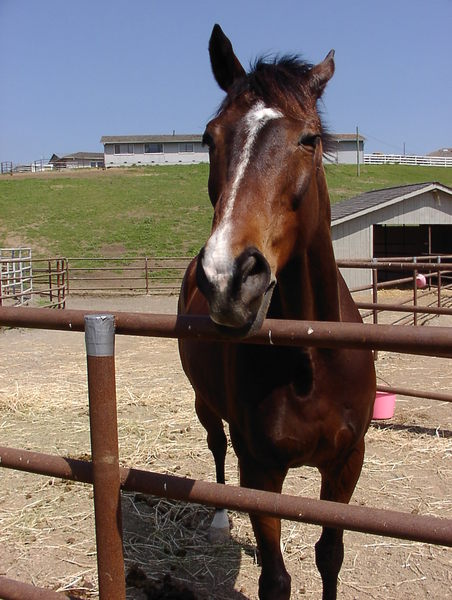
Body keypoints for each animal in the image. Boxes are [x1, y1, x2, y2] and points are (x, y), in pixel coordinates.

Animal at [178, 24, 376, 600]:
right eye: (209, 138)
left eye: (308, 139)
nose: (227, 276)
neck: (311, 358)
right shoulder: (261, 471)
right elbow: (275, 578)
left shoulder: (346, 463)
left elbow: (330, 556)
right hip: (206, 405)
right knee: (215, 446)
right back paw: (221, 520)